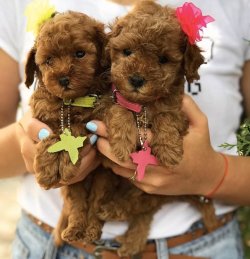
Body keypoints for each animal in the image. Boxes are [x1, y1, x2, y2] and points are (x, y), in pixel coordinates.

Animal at [25, 11, 111, 247]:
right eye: (49, 60)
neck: (70, 101)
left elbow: (77, 129)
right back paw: (73, 230)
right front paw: (47, 169)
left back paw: (90, 232)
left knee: (95, 205)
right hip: (74, 186)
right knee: (77, 204)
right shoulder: (42, 118)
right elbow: (50, 136)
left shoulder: (96, 119)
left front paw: (64, 160)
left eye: (80, 54)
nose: (63, 79)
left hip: (102, 180)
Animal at [93, 1, 218, 256]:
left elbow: (167, 117)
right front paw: (122, 142)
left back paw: (119, 217)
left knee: (142, 207)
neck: (143, 105)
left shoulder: (178, 113)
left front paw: (170, 151)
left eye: (163, 59)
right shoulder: (102, 103)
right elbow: (118, 109)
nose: (136, 80)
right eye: (127, 51)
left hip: (150, 193)